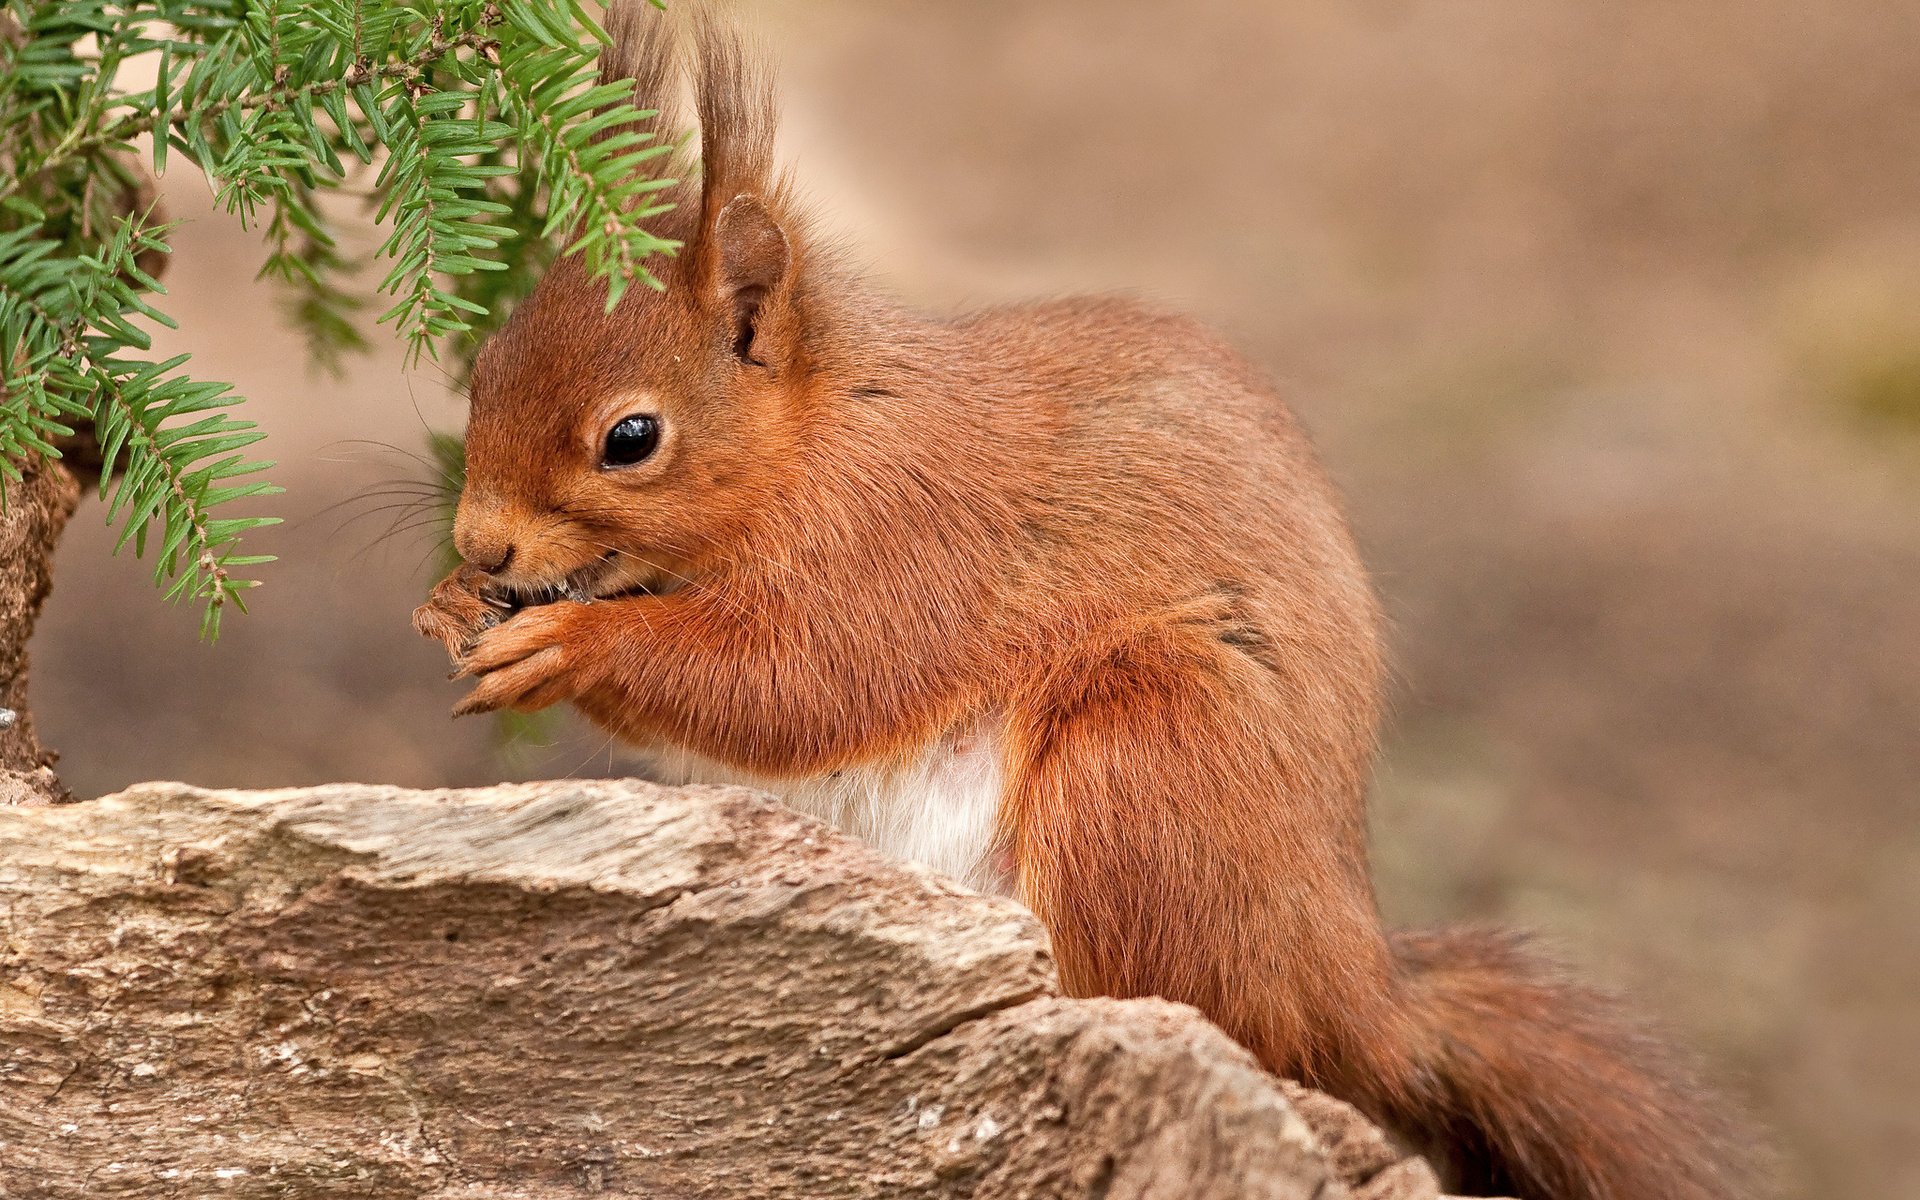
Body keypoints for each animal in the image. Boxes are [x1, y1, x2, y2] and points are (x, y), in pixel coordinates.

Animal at [416, 4, 1758, 1190]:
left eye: (631, 438)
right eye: (485, 368)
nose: (481, 542)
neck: (821, 434)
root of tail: (1351, 985)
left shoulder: (909, 542)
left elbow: (797, 683)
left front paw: (568, 647)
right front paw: (446, 605)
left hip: (1147, 762)